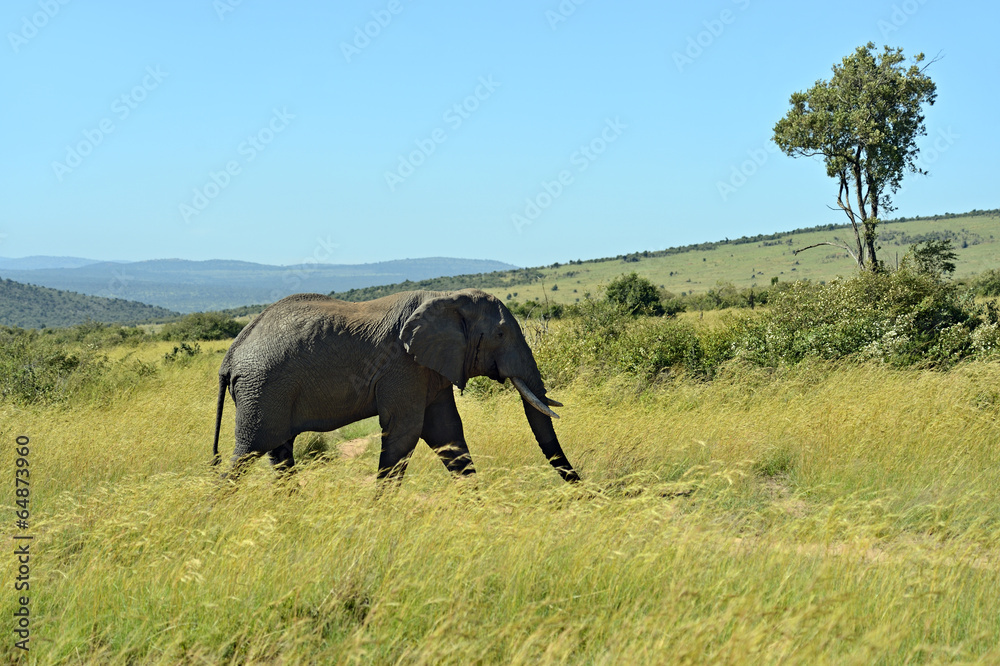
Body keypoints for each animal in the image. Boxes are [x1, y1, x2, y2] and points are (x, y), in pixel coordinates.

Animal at [211, 289, 580, 484]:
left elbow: (447, 432)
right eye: (501, 334)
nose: (582, 491)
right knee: (248, 452)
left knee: (279, 452)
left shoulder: (430, 368)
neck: (447, 298)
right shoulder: (403, 366)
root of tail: (231, 354)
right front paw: (377, 516)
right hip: (262, 388)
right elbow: (405, 431)